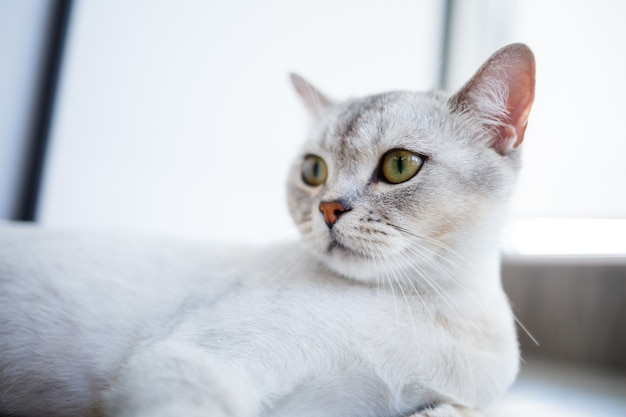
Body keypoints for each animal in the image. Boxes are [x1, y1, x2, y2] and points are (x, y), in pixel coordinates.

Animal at [1, 43, 532, 416]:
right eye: (314, 171)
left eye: (400, 165)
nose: (328, 209)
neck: (436, 309)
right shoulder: (193, 359)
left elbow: (454, 411)